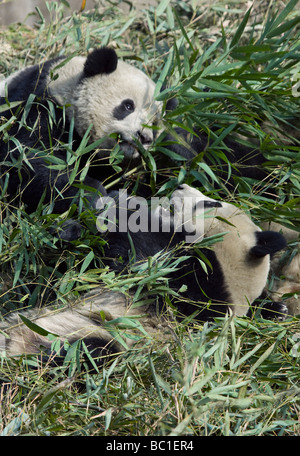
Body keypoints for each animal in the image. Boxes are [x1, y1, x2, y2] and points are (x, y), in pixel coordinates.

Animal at [0, 46, 162, 216]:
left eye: (154, 124)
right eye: (128, 106)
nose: (144, 137)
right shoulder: (37, 105)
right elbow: (29, 160)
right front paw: (94, 196)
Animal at [0, 183, 286, 366]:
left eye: (210, 202)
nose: (180, 185)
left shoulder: (190, 288)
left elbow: (134, 259)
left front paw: (123, 204)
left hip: (91, 341)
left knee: (79, 354)